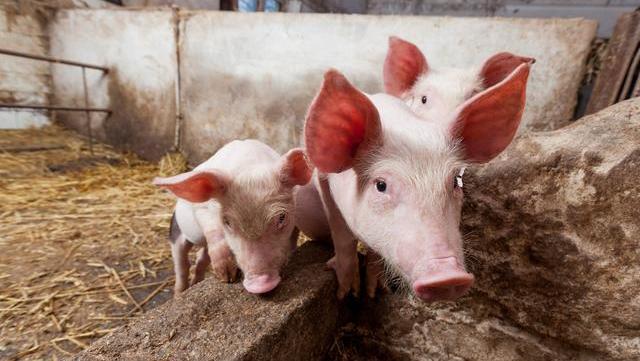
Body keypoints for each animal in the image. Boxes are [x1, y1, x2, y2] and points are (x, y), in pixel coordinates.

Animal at [156, 139, 316, 294]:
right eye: (227, 222)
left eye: (282, 217)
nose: (261, 284)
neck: (249, 166)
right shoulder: (203, 208)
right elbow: (214, 231)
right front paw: (227, 277)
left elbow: (292, 238)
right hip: (176, 230)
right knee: (181, 263)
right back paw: (179, 293)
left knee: (200, 260)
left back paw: (196, 282)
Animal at [302, 47, 532, 300]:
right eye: (381, 185)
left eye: (455, 182)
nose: (447, 277)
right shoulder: (324, 178)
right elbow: (342, 236)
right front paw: (346, 293)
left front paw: (374, 292)